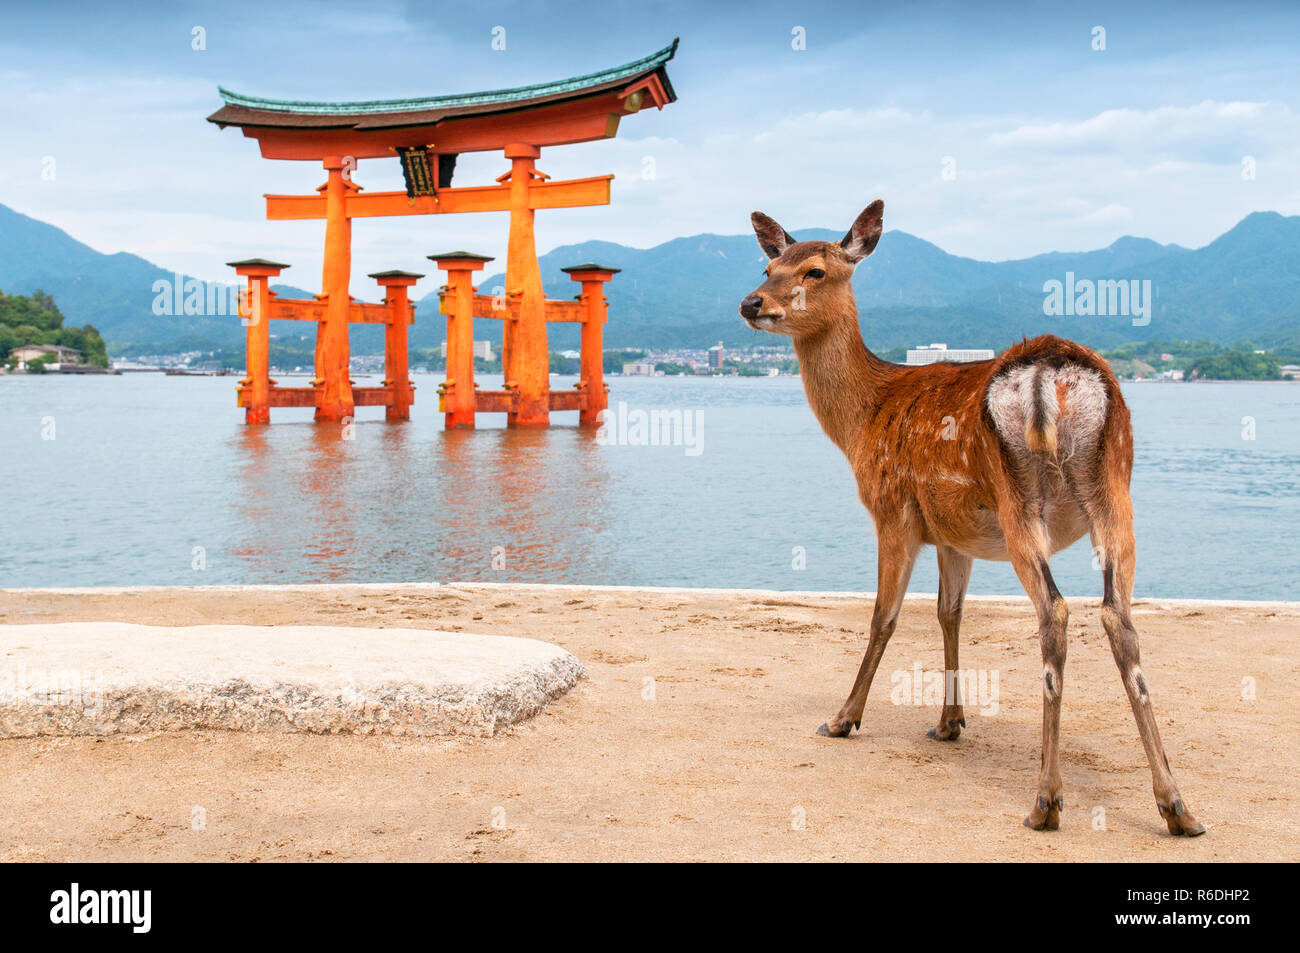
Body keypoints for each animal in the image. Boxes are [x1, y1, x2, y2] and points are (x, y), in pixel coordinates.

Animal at [738, 200, 1201, 832]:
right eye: (767, 265)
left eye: (815, 270)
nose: (751, 303)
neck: (863, 419)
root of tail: (1049, 376)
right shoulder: (954, 534)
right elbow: (948, 614)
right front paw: (949, 722)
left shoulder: (893, 511)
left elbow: (884, 617)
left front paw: (842, 718)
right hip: (1117, 490)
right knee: (1118, 617)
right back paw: (1177, 806)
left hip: (1018, 498)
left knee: (1056, 612)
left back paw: (1046, 802)